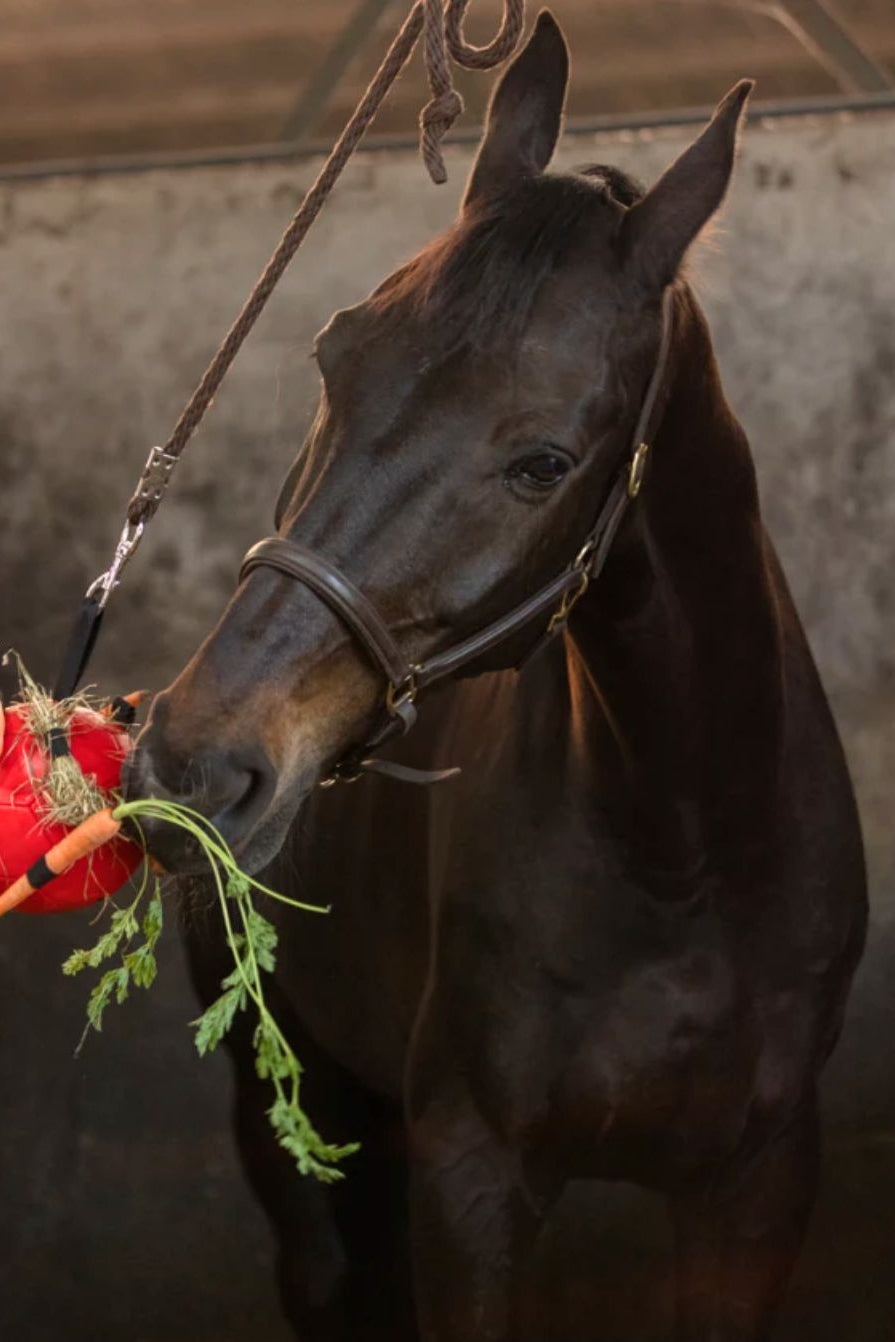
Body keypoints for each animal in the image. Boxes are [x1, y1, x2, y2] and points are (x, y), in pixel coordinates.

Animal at [126, 13, 867, 1339]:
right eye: (334, 354)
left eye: (543, 462)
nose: (191, 764)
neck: (681, 852)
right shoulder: (468, 1176)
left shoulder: (757, 1187)